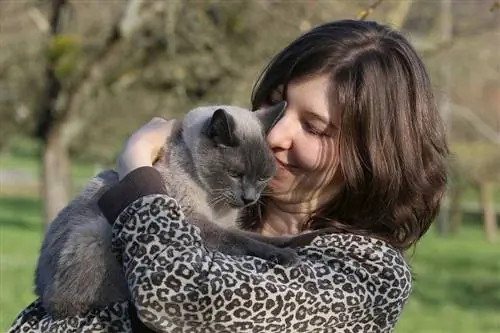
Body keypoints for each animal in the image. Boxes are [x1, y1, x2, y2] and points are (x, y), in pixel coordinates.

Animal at [35, 102, 300, 318]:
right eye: (235, 174)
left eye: (263, 177)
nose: (249, 199)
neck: (217, 205)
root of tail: (39, 287)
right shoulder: (198, 224)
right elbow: (244, 241)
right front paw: (286, 256)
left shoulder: (226, 224)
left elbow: (258, 237)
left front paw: (296, 243)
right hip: (97, 231)